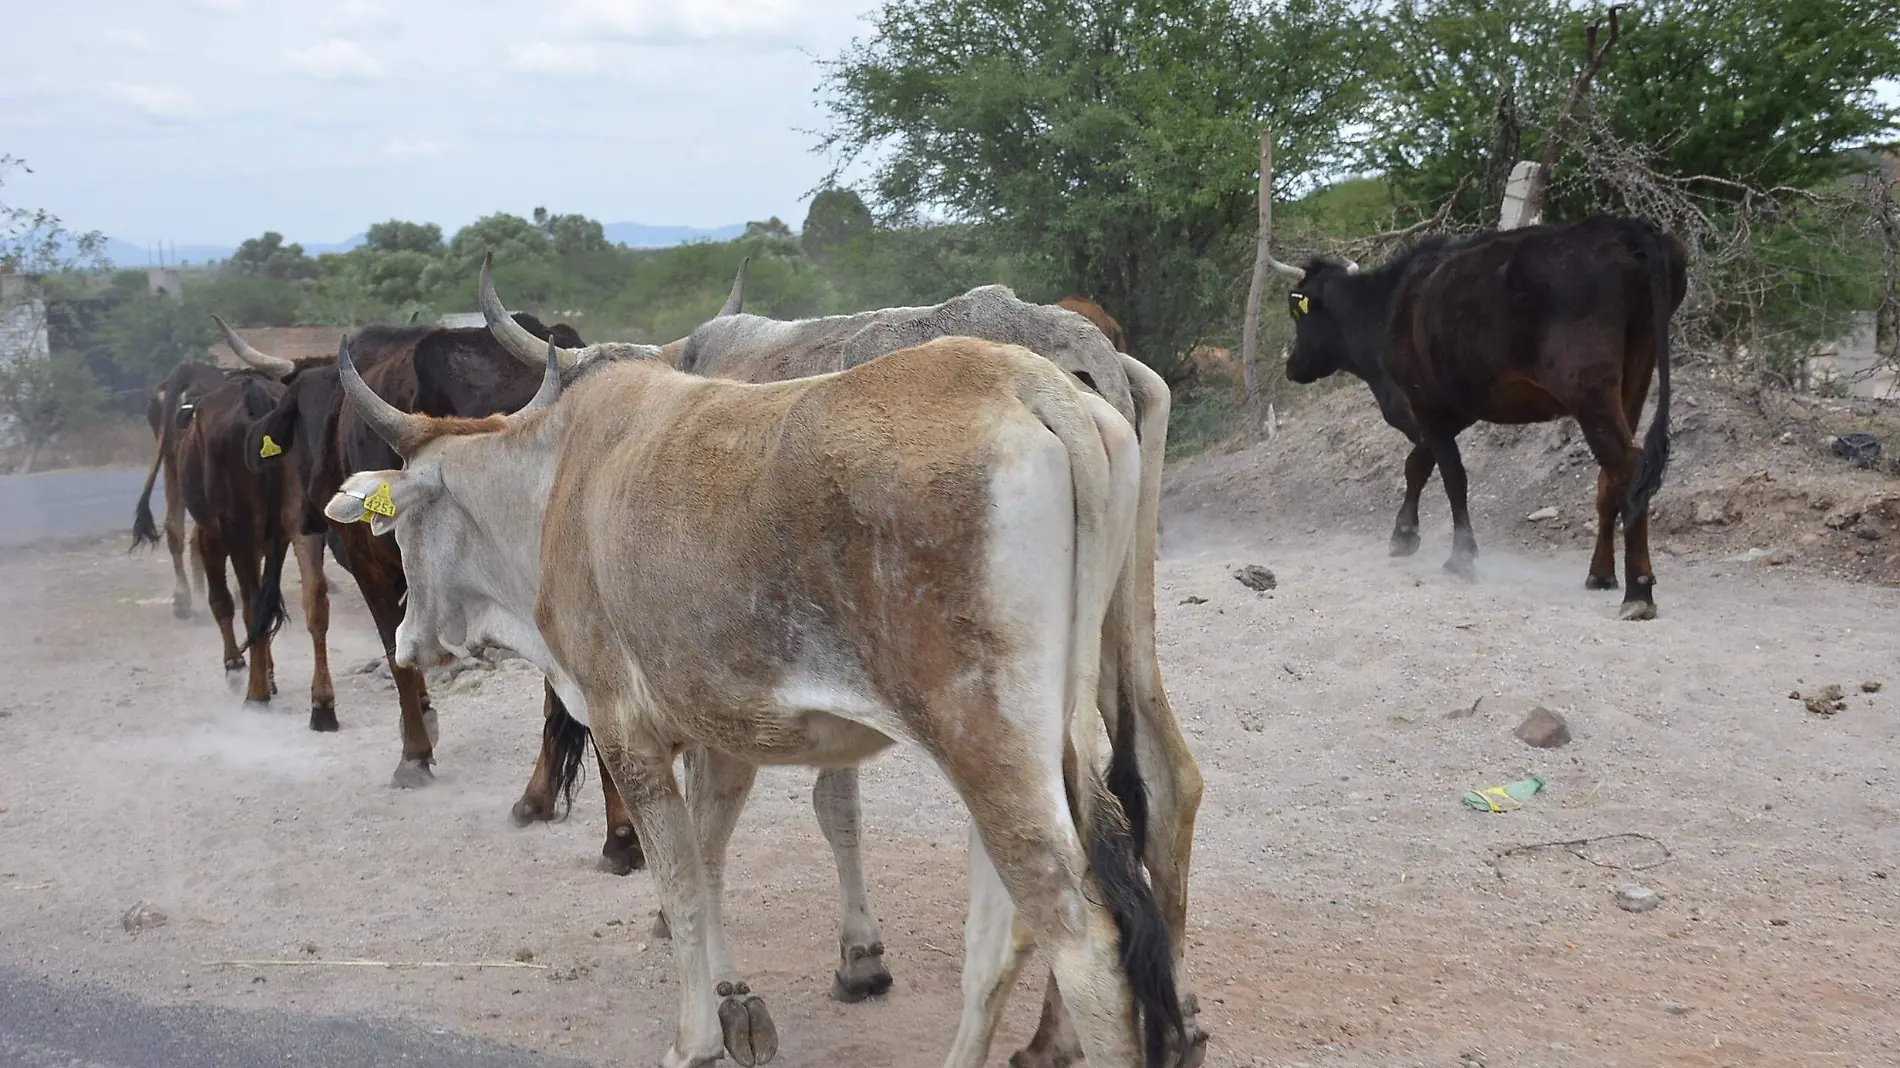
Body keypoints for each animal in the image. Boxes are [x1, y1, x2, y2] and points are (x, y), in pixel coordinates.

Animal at [328, 334, 1185, 1068]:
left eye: (396, 527)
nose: (405, 639)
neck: (556, 484)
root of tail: (1029, 381)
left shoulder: (624, 730)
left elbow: (678, 881)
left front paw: (696, 1037)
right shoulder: (723, 732)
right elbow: (707, 864)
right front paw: (733, 995)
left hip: (986, 746)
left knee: (1082, 944)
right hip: (1050, 736)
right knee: (1012, 929)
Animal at [1269, 212, 1687, 619]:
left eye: (1295, 311)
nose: (1291, 366)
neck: (1386, 307)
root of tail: (1624, 227)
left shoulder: (1426, 405)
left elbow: (1451, 476)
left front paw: (1460, 557)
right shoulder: (1455, 406)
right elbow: (1418, 463)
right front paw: (1404, 535)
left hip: (1587, 388)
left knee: (1627, 465)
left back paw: (1639, 591)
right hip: (1637, 370)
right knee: (1611, 476)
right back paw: (1600, 573)